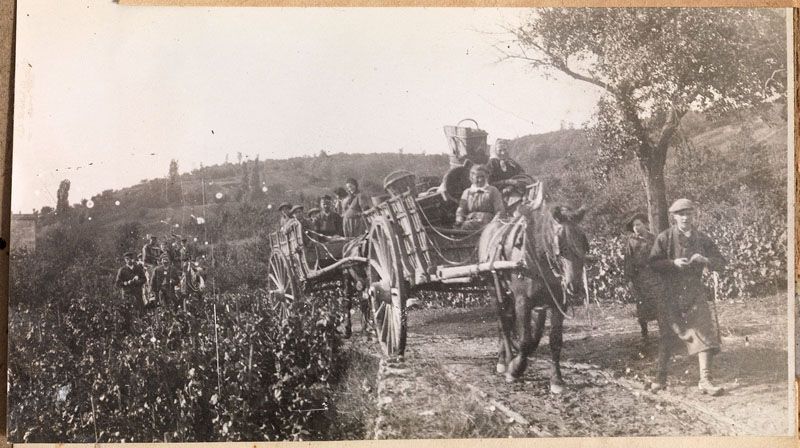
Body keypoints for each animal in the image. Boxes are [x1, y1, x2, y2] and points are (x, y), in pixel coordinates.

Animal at [478, 196, 592, 392]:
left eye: (584, 243)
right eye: (561, 244)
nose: (575, 286)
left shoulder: (558, 304)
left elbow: (554, 340)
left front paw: (556, 379)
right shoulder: (523, 301)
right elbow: (524, 339)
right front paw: (515, 369)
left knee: (508, 323)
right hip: (495, 292)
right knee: (504, 326)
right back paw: (505, 361)